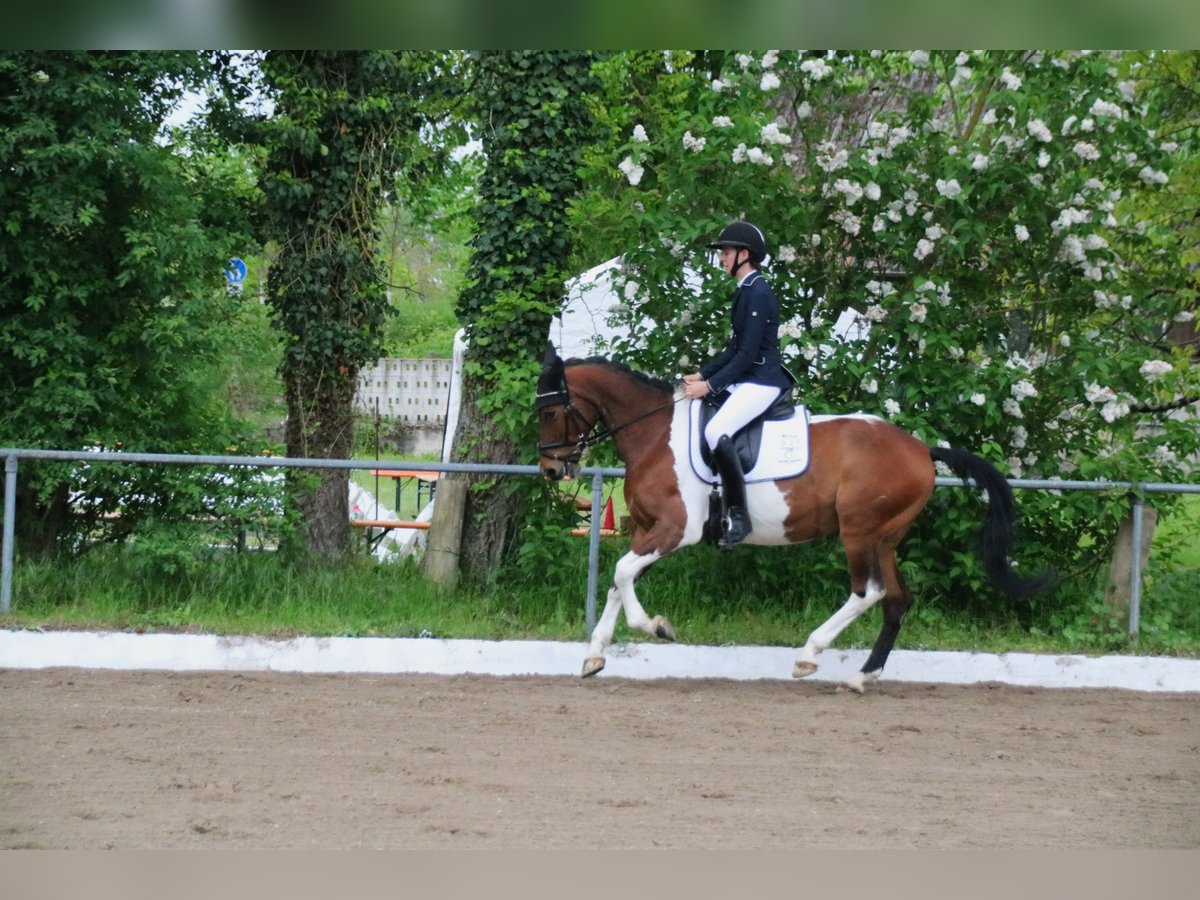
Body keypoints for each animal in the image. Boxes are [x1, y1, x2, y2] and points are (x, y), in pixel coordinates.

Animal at [535, 340, 1051, 696]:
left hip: (859, 531)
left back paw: (809, 655)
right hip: (885, 537)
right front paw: (595, 656)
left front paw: (657, 627)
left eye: (551, 410)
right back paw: (861, 678)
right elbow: (616, 582)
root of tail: (921, 448)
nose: (551, 470)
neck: (654, 433)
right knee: (896, 601)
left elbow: (623, 574)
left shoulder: (675, 529)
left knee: (867, 592)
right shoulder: (645, 529)